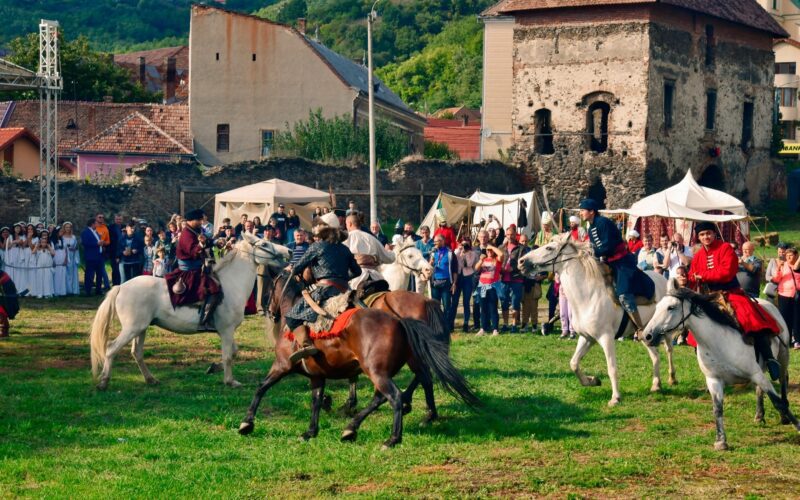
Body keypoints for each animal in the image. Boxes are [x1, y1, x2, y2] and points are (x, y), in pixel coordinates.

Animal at [89, 234, 290, 390]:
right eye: (264, 244)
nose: (288, 251)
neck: (230, 283)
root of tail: (121, 287)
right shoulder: (226, 330)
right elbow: (228, 356)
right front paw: (230, 381)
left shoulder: (226, 332)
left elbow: (233, 352)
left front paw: (214, 368)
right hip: (132, 329)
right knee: (111, 349)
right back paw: (103, 382)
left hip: (141, 329)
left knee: (136, 353)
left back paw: (151, 379)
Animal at [236, 274, 476, 450]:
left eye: (270, 290)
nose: (268, 311)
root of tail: (400, 321)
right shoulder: (317, 376)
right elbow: (316, 400)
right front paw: (311, 431)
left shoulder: (282, 366)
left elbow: (261, 388)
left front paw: (247, 423)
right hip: (389, 369)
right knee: (397, 390)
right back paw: (353, 428)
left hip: (377, 372)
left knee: (396, 395)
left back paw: (393, 437)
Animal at [520, 234, 676, 406]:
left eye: (549, 248)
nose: (521, 261)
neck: (589, 295)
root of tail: (664, 280)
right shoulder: (587, 338)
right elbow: (574, 363)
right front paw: (593, 380)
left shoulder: (606, 338)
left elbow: (612, 368)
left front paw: (615, 397)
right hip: (645, 333)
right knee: (655, 356)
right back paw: (656, 385)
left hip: (666, 330)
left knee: (669, 350)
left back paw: (672, 378)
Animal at [644, 284, 800, 452]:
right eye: (657, 307)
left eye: (671, 308)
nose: (647, 336)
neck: (717, 341)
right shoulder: (714, 380)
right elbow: (717, 409)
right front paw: (721, 441)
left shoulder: (755, 373)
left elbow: (777, 401)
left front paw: (797, 426)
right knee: (760, 389)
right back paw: (759, 415)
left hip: (783, 356)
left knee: (783, 380)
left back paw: (783, 417)